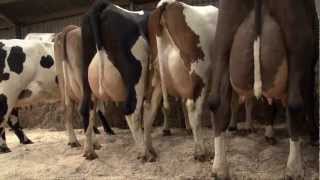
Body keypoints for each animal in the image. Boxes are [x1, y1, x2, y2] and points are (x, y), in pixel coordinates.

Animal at [80, 0, 150, 160]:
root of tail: (105, 5)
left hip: (85, 78)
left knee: (86, 109)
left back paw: (89, 151)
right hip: (136, 72)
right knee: (131, 110)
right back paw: (144, 153)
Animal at [141, 0, 219, 162]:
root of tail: (168, 4)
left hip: (157, 77)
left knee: (149, 107)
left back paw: (149, 151)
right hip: (199, 73)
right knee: (193, 108)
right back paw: (201, 152)